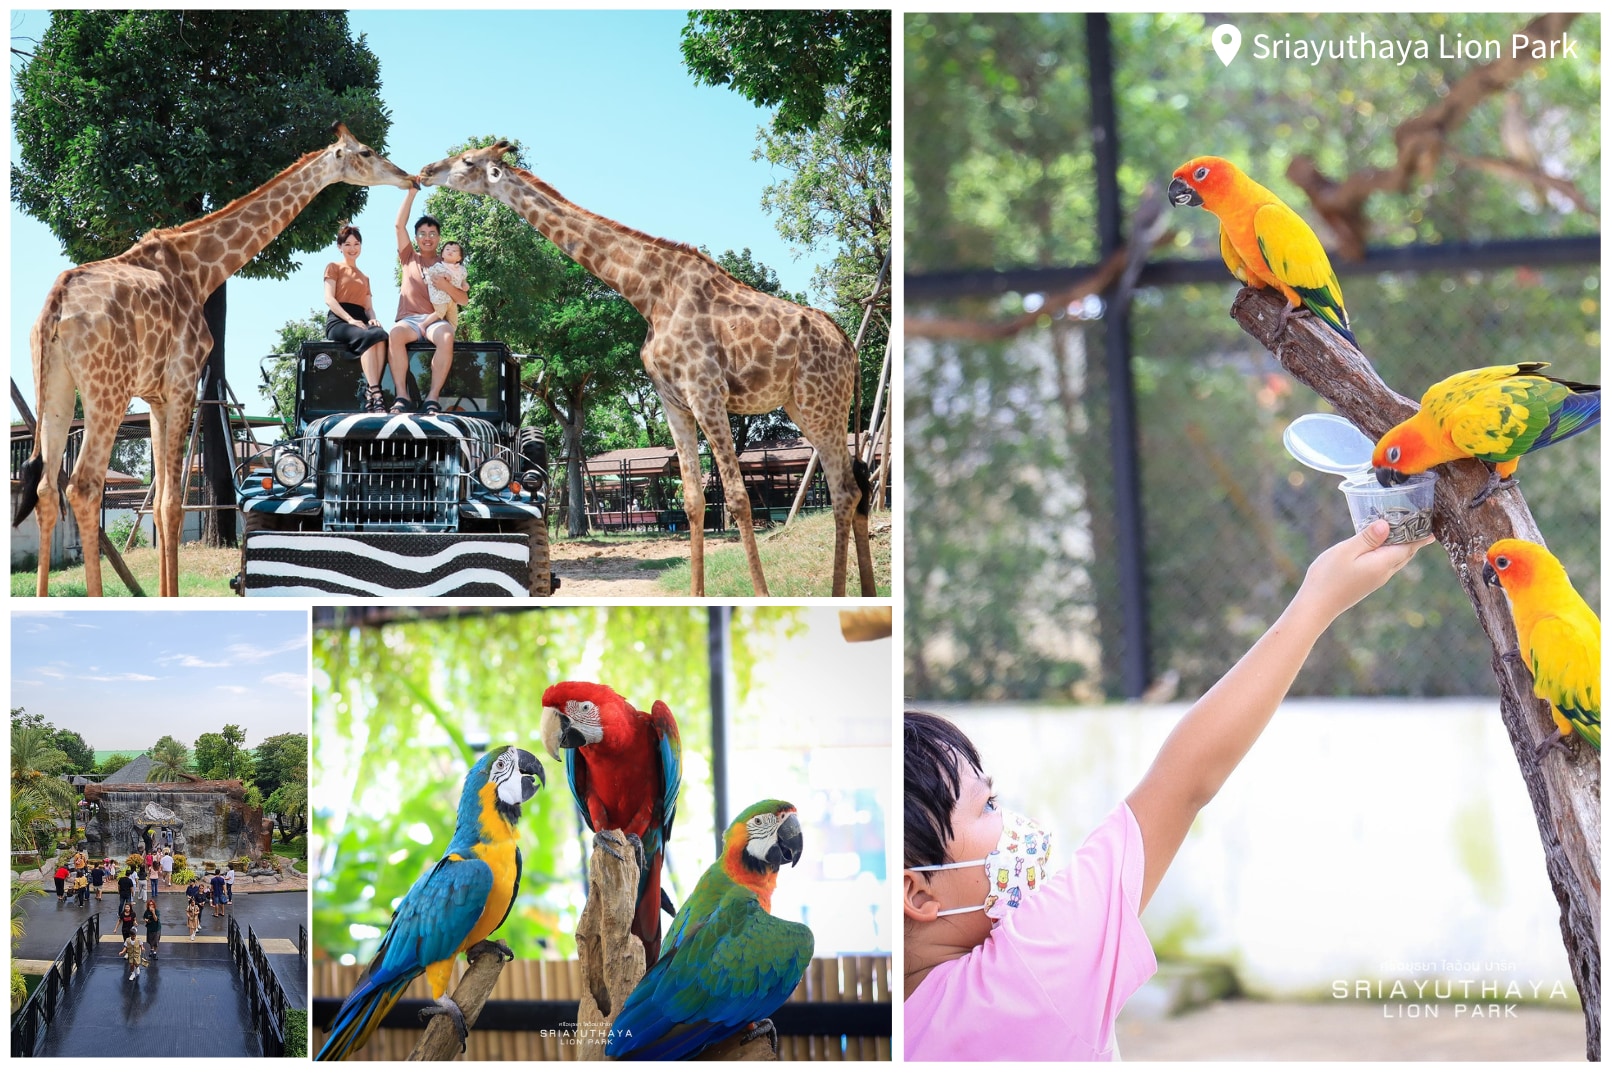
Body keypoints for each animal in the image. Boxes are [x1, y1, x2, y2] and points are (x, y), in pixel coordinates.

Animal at [14, 125, 415, 596]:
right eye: (366, 152)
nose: (408, 177)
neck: (201, 269)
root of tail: (56, 305)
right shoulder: (183, 382)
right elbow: (171, 503)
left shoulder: (158, 396)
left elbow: (163, 500)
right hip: (106, 389)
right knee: (82, 486)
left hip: (57, 386)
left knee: (46, 488)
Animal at [415, 141, 870, 593]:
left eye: (468, 161)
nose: (425, 169)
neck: (649, 294)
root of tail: (850, 348)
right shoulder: (674, 401)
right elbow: (693, 500)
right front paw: (696, 594)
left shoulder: (706, 391)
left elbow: (738, 497)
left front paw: (761, 595)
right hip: (804, 406)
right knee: (852, 487)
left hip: (820, 403)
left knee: (845, 490)